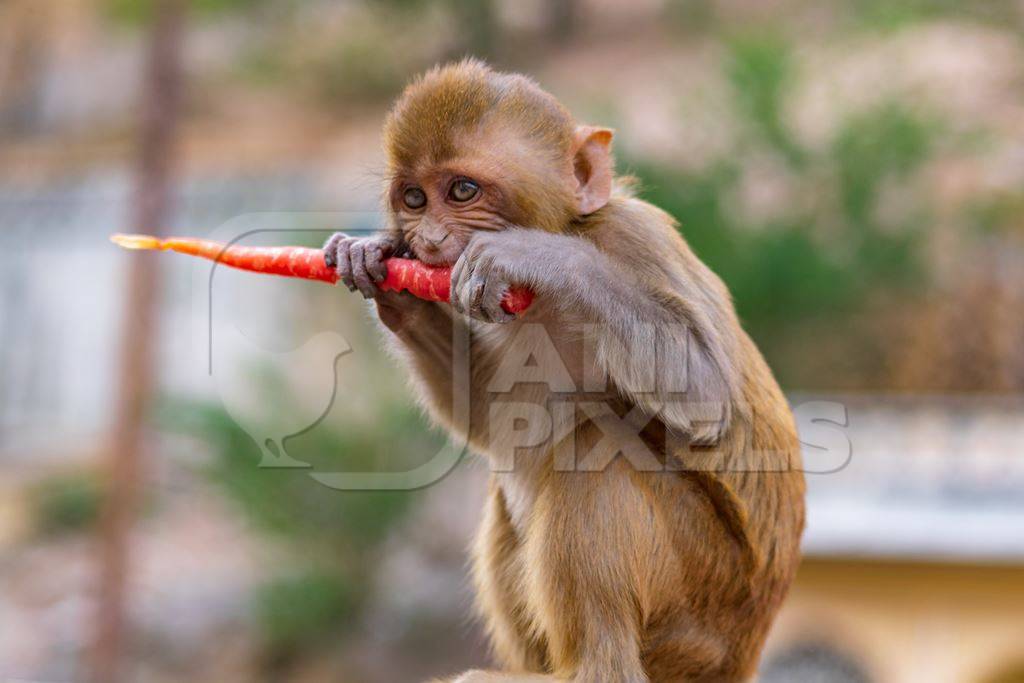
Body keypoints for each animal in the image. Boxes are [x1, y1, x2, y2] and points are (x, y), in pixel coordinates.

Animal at [323, 61, 802, 679]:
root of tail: (741, 658)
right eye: (413, 197)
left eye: (462, 191)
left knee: (595, 451)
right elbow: (489, 418)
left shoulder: (636, 241)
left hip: (703, 612)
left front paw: (545, 258)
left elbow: (706, 394)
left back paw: (593, 666)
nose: (426, 242)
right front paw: (381, 270)